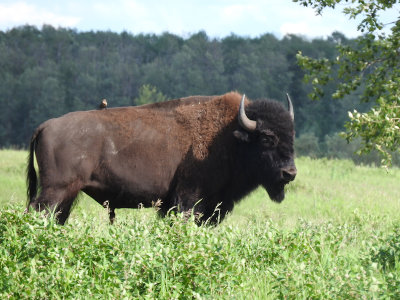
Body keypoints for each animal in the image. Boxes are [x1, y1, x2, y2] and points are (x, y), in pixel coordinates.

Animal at [25, 92, 294, 224]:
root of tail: (45, 126)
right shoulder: (188, 200)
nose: (289, 173)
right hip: (55, 190)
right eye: (267, 138)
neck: (229, 136)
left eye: (291, 134)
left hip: (68, 194)